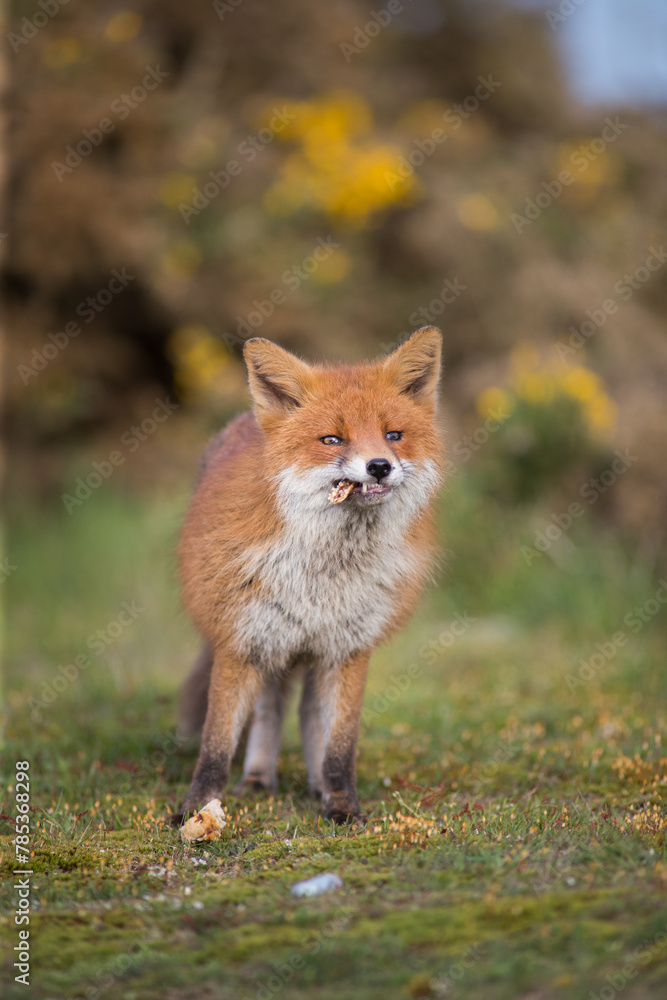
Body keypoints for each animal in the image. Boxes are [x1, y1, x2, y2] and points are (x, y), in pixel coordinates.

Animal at [175, 326, 444, 824]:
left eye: (393, 435)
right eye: (332, 439)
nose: (380, 465)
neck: (324, 576)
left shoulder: (347, 650)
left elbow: (339, 746)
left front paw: (340, 805)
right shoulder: (238, 642)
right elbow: (215, 744)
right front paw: (195, 810)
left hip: (310, 656)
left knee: (305, 716)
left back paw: (313, 784)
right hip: (270, 646)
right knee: (271, 709)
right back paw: (258, 779)